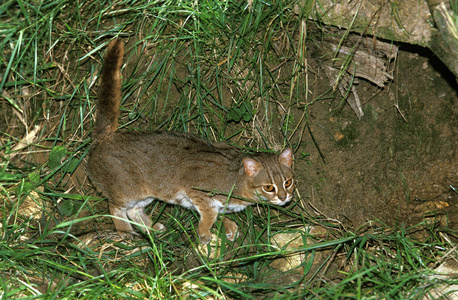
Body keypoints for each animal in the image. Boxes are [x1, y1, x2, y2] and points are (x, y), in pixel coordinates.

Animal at [87, 38, 296, 244]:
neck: (237, 180)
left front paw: (228, 227)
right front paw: (205, 233)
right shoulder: (196, 190)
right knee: (115, 208)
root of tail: (106, 137)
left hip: (147, 195)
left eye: (288, 182)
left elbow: (218, 213)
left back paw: (152, 229)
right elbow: (210, 213)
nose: (284, 197)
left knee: (134, 210)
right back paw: (125, 232)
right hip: (127, 191)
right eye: (269, 187)